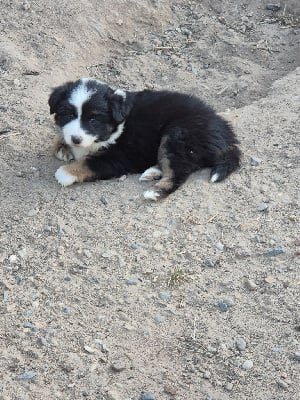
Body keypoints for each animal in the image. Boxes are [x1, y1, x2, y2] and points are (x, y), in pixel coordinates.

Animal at [49, 77, 241, 200]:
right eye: (68, 114)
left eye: (93, 120)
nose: (75, 139)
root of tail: (225, 131)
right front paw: (62, 146)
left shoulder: (119, 156)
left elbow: (88, 161)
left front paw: (66, 172)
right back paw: (153, 172)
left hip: (178, 134)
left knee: (179, 170)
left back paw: (156, 191)